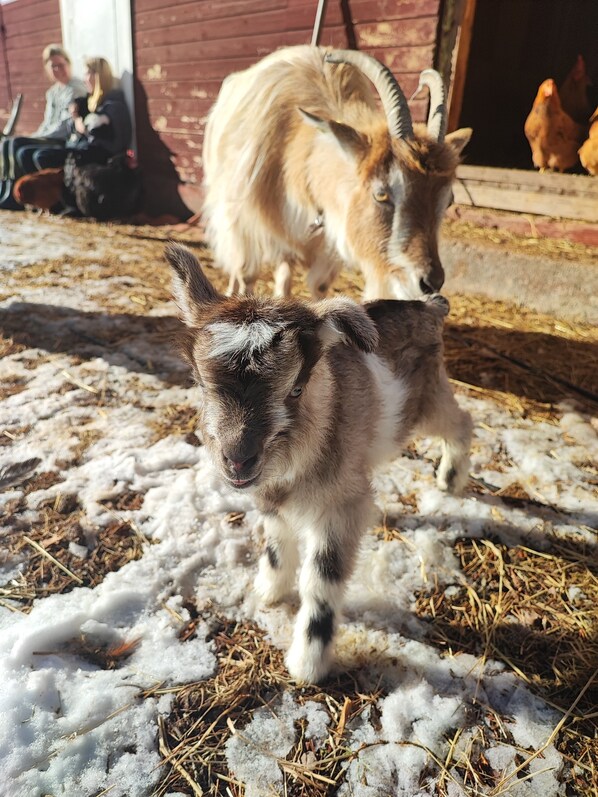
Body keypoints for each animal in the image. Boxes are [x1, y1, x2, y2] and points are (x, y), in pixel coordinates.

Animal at [167, 243, 472, 684]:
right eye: (201, 385)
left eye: (296, 388)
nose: (238, 460)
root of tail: (432, 307)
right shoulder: (271, 499)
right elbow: (276, 547)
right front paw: (268, 592)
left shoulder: (339, 509)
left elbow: (320, 582)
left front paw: (308, 664)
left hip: (429, 400)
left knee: (462, 421)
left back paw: (450, 479)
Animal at [202, 46, 472, 301]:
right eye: (381, 194)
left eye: (448, 200)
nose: (429, 283)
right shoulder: (243, 223)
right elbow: (246, 275)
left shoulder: (331, 235)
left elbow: (319, 286)